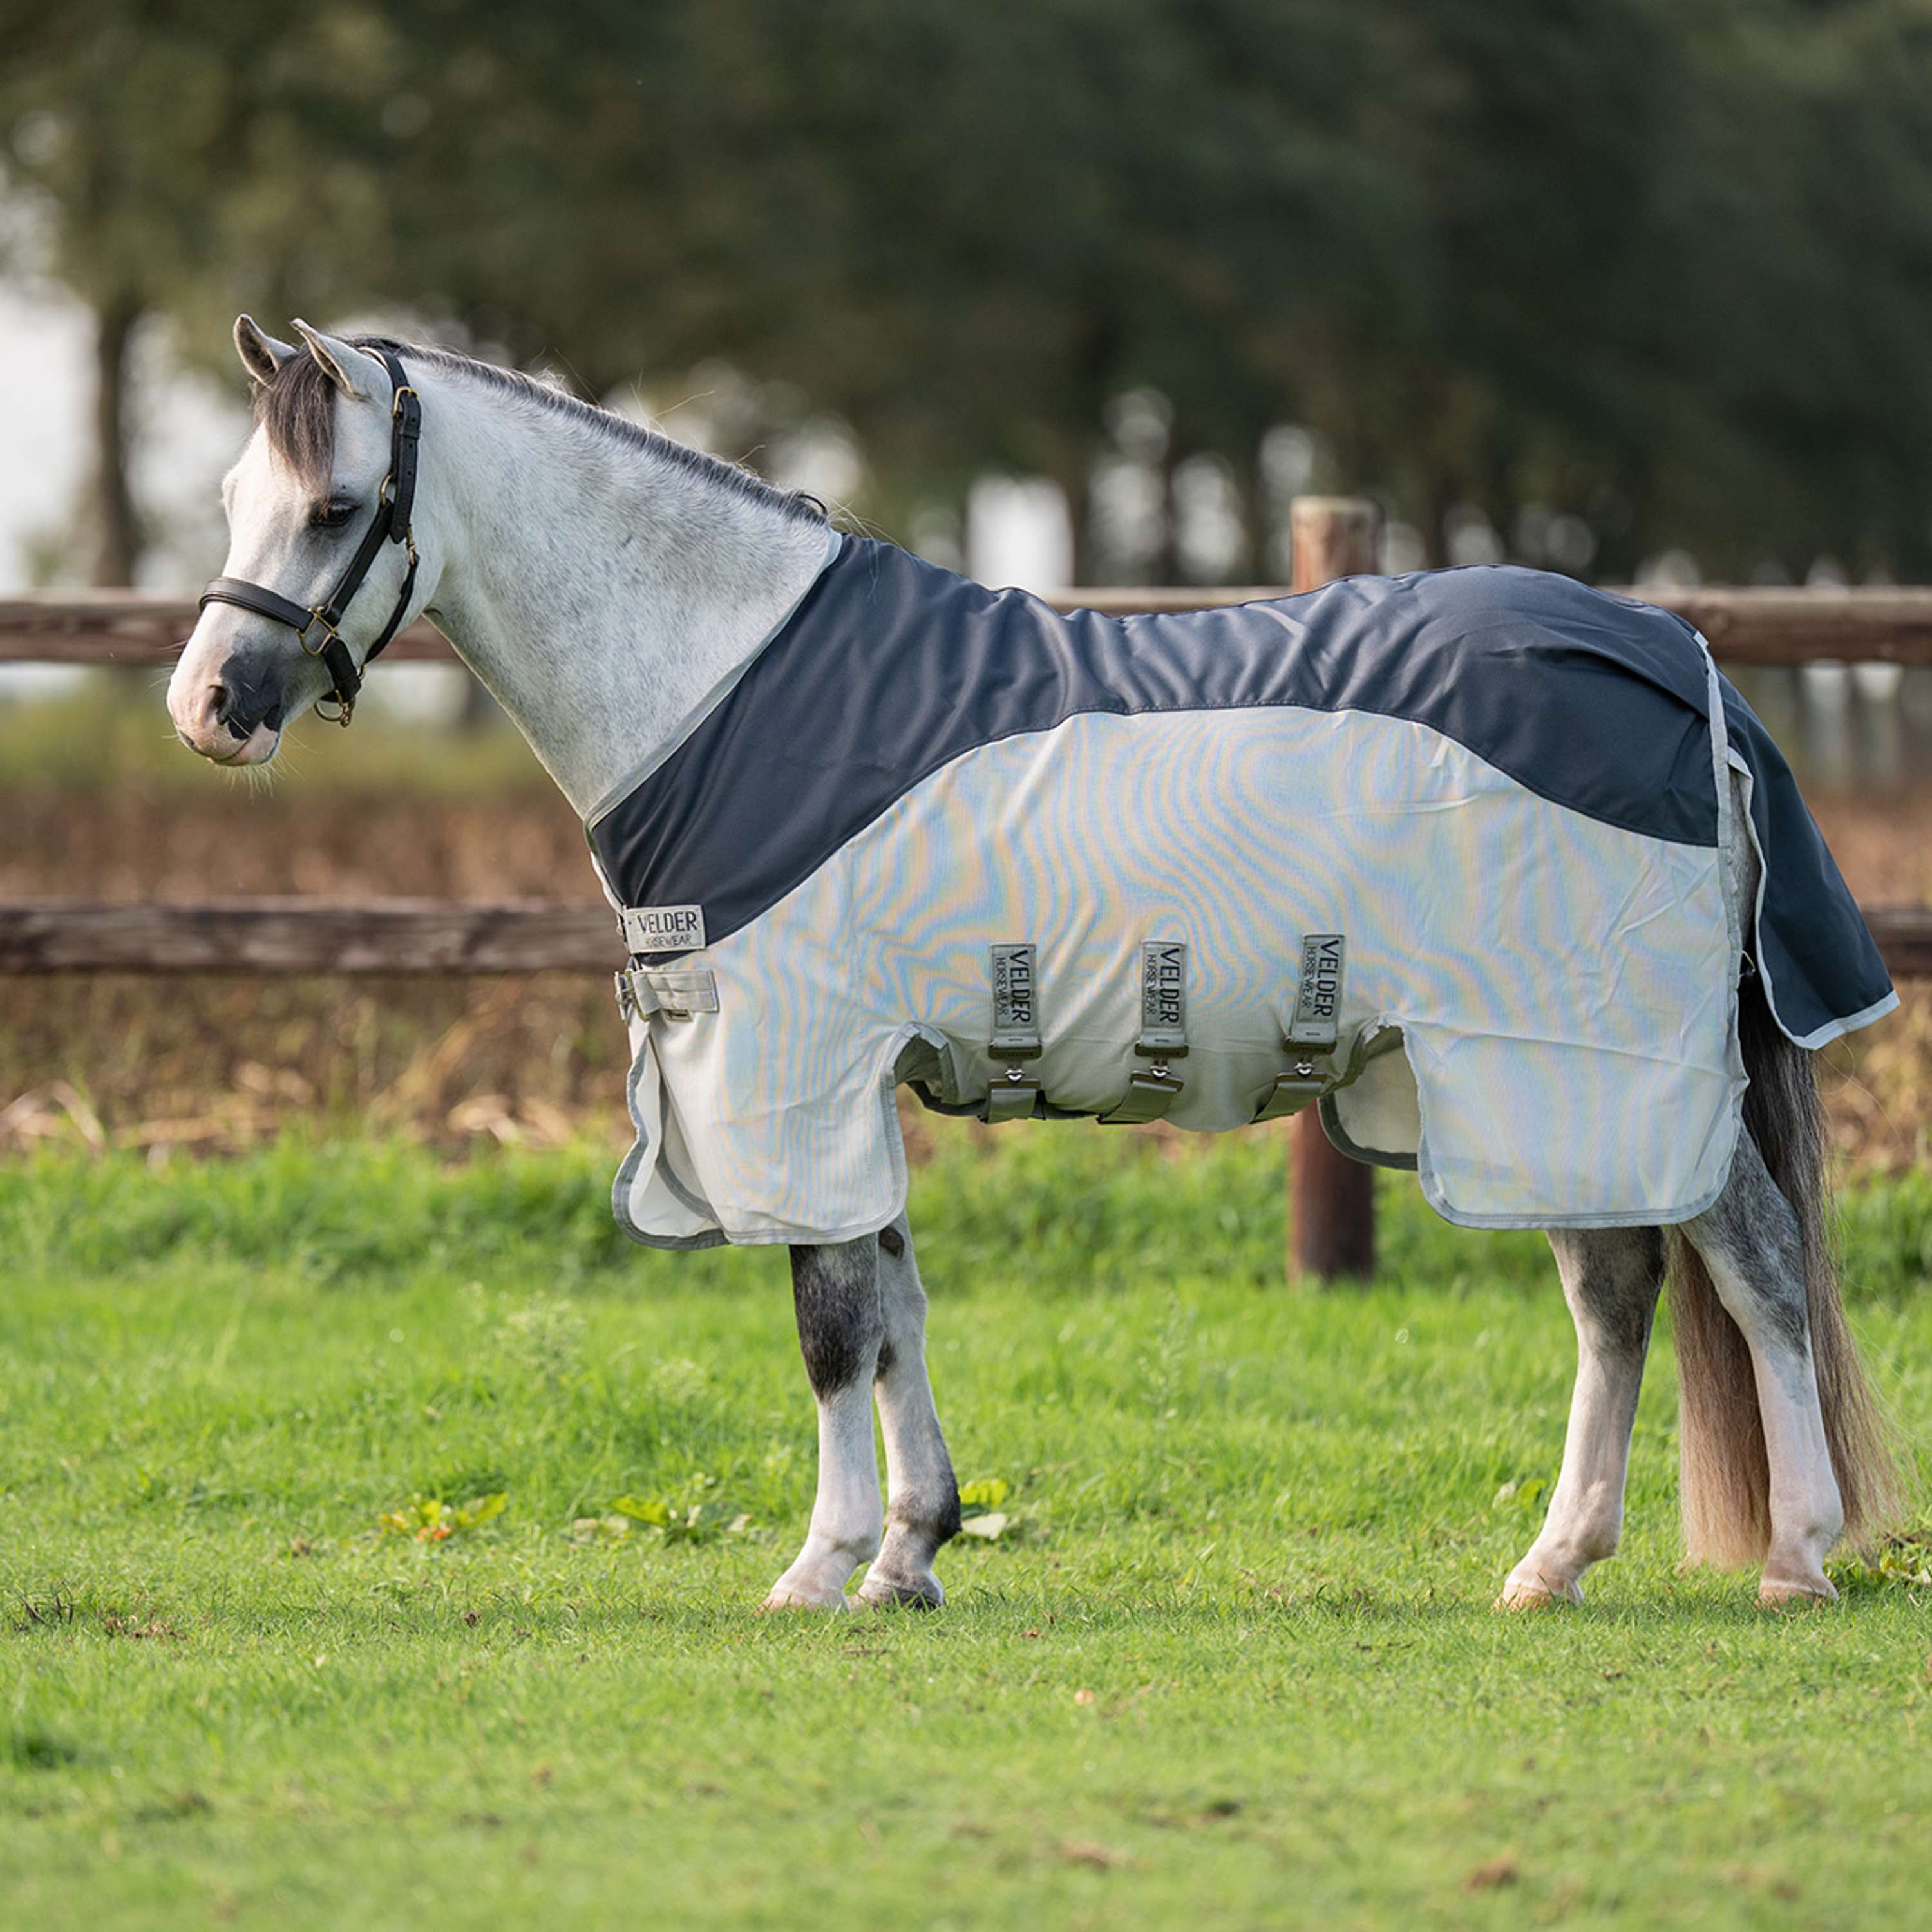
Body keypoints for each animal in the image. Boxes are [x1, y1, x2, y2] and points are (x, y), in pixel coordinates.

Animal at [168, 317, 1901, 1612]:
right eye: (233, 498)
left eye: (337, 509)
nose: (209, 709)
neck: (725, 684)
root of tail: (1675, 659)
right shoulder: (847, 1073)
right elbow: (893, 1301)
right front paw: (911, 1552)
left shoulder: (793, 1067)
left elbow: (831, 1322)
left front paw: (821, 1568)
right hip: (1521, 1078)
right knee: (1617, 1292)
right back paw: (1553, 1563)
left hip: (1591, 1056)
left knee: (1751, 1265)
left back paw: (1797, 1556)